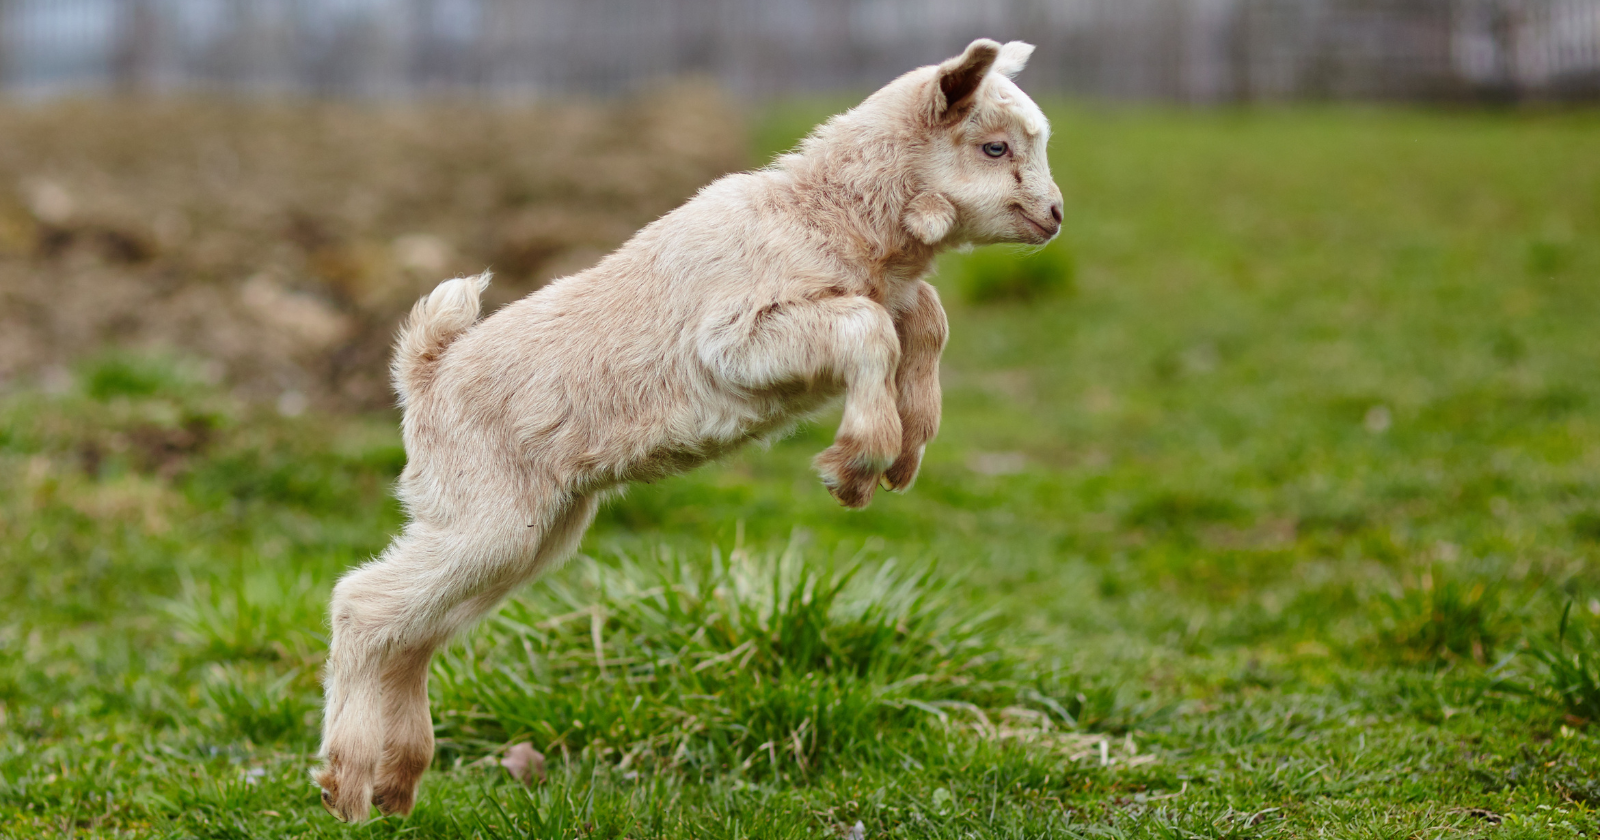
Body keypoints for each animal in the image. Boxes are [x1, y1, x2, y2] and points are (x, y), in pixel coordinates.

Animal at [315, 38, 1061, 820]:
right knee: (363, 605)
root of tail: (426, 373)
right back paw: (347, 784)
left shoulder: (887, 297)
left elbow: (924, 319)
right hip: (483, 511)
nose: (1055, 215)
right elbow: (869, 328)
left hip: (530, 530)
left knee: (413, 632)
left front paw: (908, 446)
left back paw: (395, 782)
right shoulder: (734, 339)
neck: (826, 215)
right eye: (995, 146)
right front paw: (856, 465)